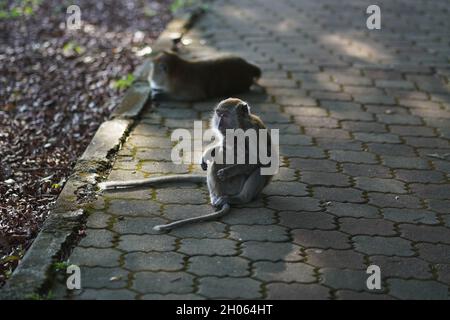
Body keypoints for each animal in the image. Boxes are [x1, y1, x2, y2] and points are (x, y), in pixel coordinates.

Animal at [99, 97, 276, 230]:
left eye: (224, 115)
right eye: (218, 115)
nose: (219, 124)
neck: (239, 128)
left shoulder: (254, 132)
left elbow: (261, 159)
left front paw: (228, 172)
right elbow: (221, 148)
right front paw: (206, 154)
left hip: (237, 187)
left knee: (261, 169)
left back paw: (239, 199)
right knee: (217, 161)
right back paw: (216, 196)